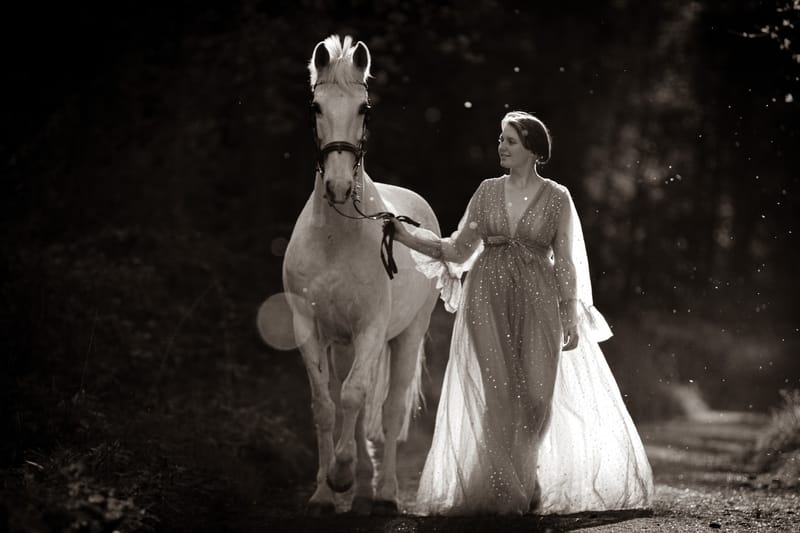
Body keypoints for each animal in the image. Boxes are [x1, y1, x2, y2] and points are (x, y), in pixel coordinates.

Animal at [281, 35, 440, 515]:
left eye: (364, 108)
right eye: (315, 106)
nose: (336, 186)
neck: (336, 237)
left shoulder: (371, 328)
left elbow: (354, 397)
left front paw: (342, 475)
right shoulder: (310, 328)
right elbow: (325, 405)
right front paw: (323, 491)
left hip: (407, 335)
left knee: (389, 407)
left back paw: (384, 490)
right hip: (345, 343)